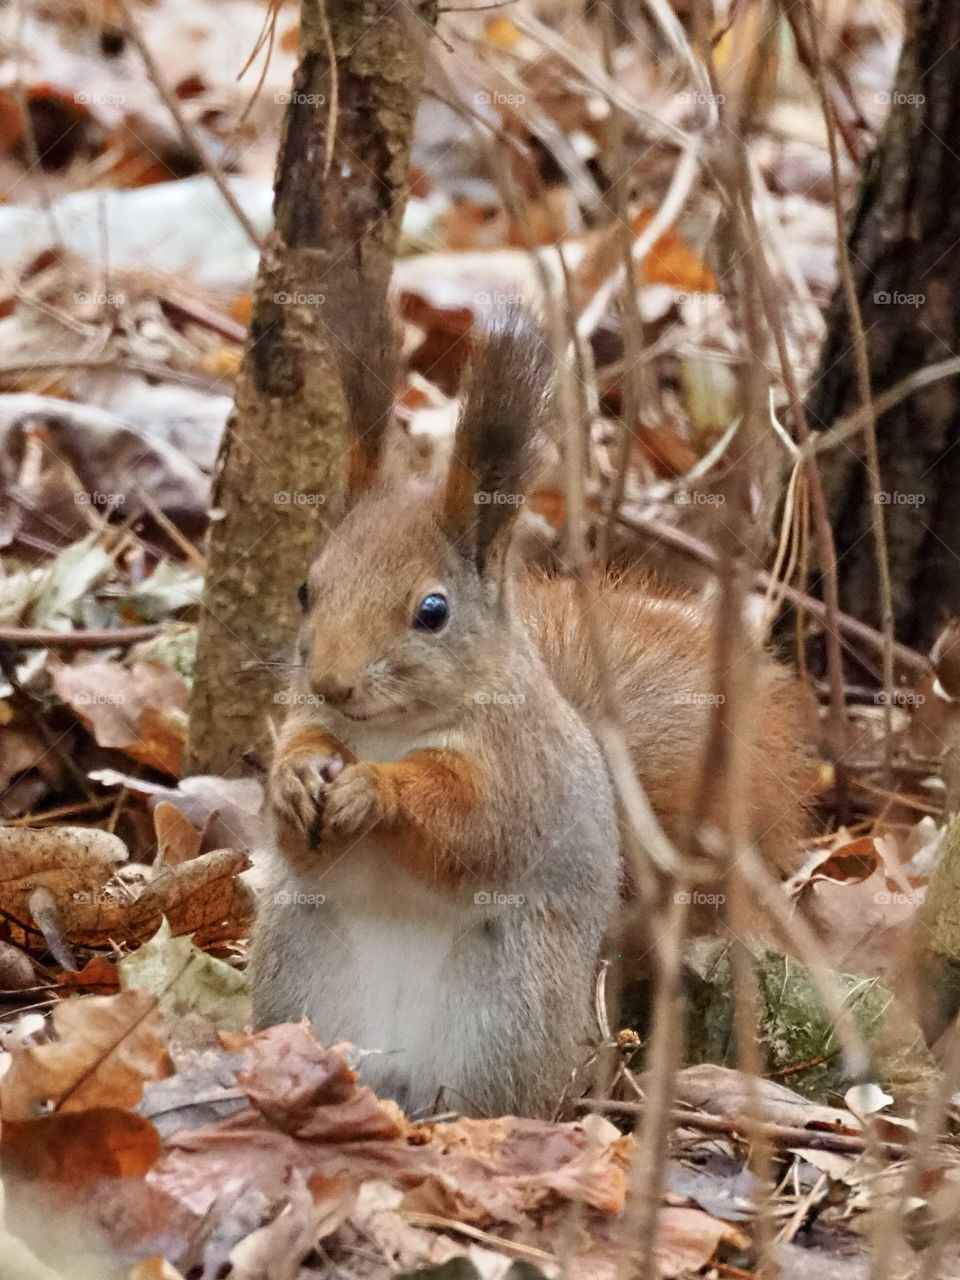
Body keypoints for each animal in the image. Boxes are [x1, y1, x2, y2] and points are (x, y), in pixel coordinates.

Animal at [249, 310, 812, 1119]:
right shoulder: (314, 726)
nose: (330, 683)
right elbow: (298, 820)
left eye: (432, 611)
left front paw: (375, 792)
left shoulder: (520, 768)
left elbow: (470, 826)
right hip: (301, 972)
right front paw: (295, 781)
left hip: (506, 1010)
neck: (388, 732)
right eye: (305, 590)